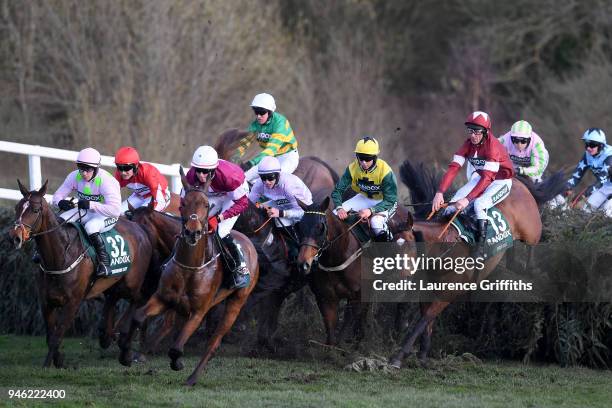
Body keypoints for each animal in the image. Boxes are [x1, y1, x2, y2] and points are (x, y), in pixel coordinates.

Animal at [8, 180, 153, 368]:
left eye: (35, 210)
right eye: (17, 207)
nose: (14, 237)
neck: (61, 255)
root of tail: (141, 229)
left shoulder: (73, 303)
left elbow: (56, 337)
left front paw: (47, 365)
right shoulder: (46, 302)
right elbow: (50, 336)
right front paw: (58, 360)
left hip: (132, 283)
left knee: (139, 300)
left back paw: (125, 345)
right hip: (113, 284)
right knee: (112, 301)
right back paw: (108, 335)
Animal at [120, 170, 260, 386]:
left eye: (206, 205)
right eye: (183, 203)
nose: (193, 231)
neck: (191, 266)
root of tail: (249, 243)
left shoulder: (198, 311)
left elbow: (176, 347)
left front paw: (176, 362)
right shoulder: (164, 298)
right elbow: (139, 317)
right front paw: (127, 355)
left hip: (236, 302)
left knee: (214, 342)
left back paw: (193, 377)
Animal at [390, 159, 568, 366]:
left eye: (409, 246)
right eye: (391, 245)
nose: (399, 277)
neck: (443, 249)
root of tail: (516, 179)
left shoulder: (447, 294)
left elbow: (423, 320)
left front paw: (399, 356)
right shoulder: (428, 290)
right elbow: (427, 323)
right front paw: (423, 355)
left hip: (531, 229)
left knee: (533, 243)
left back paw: (528, 268)